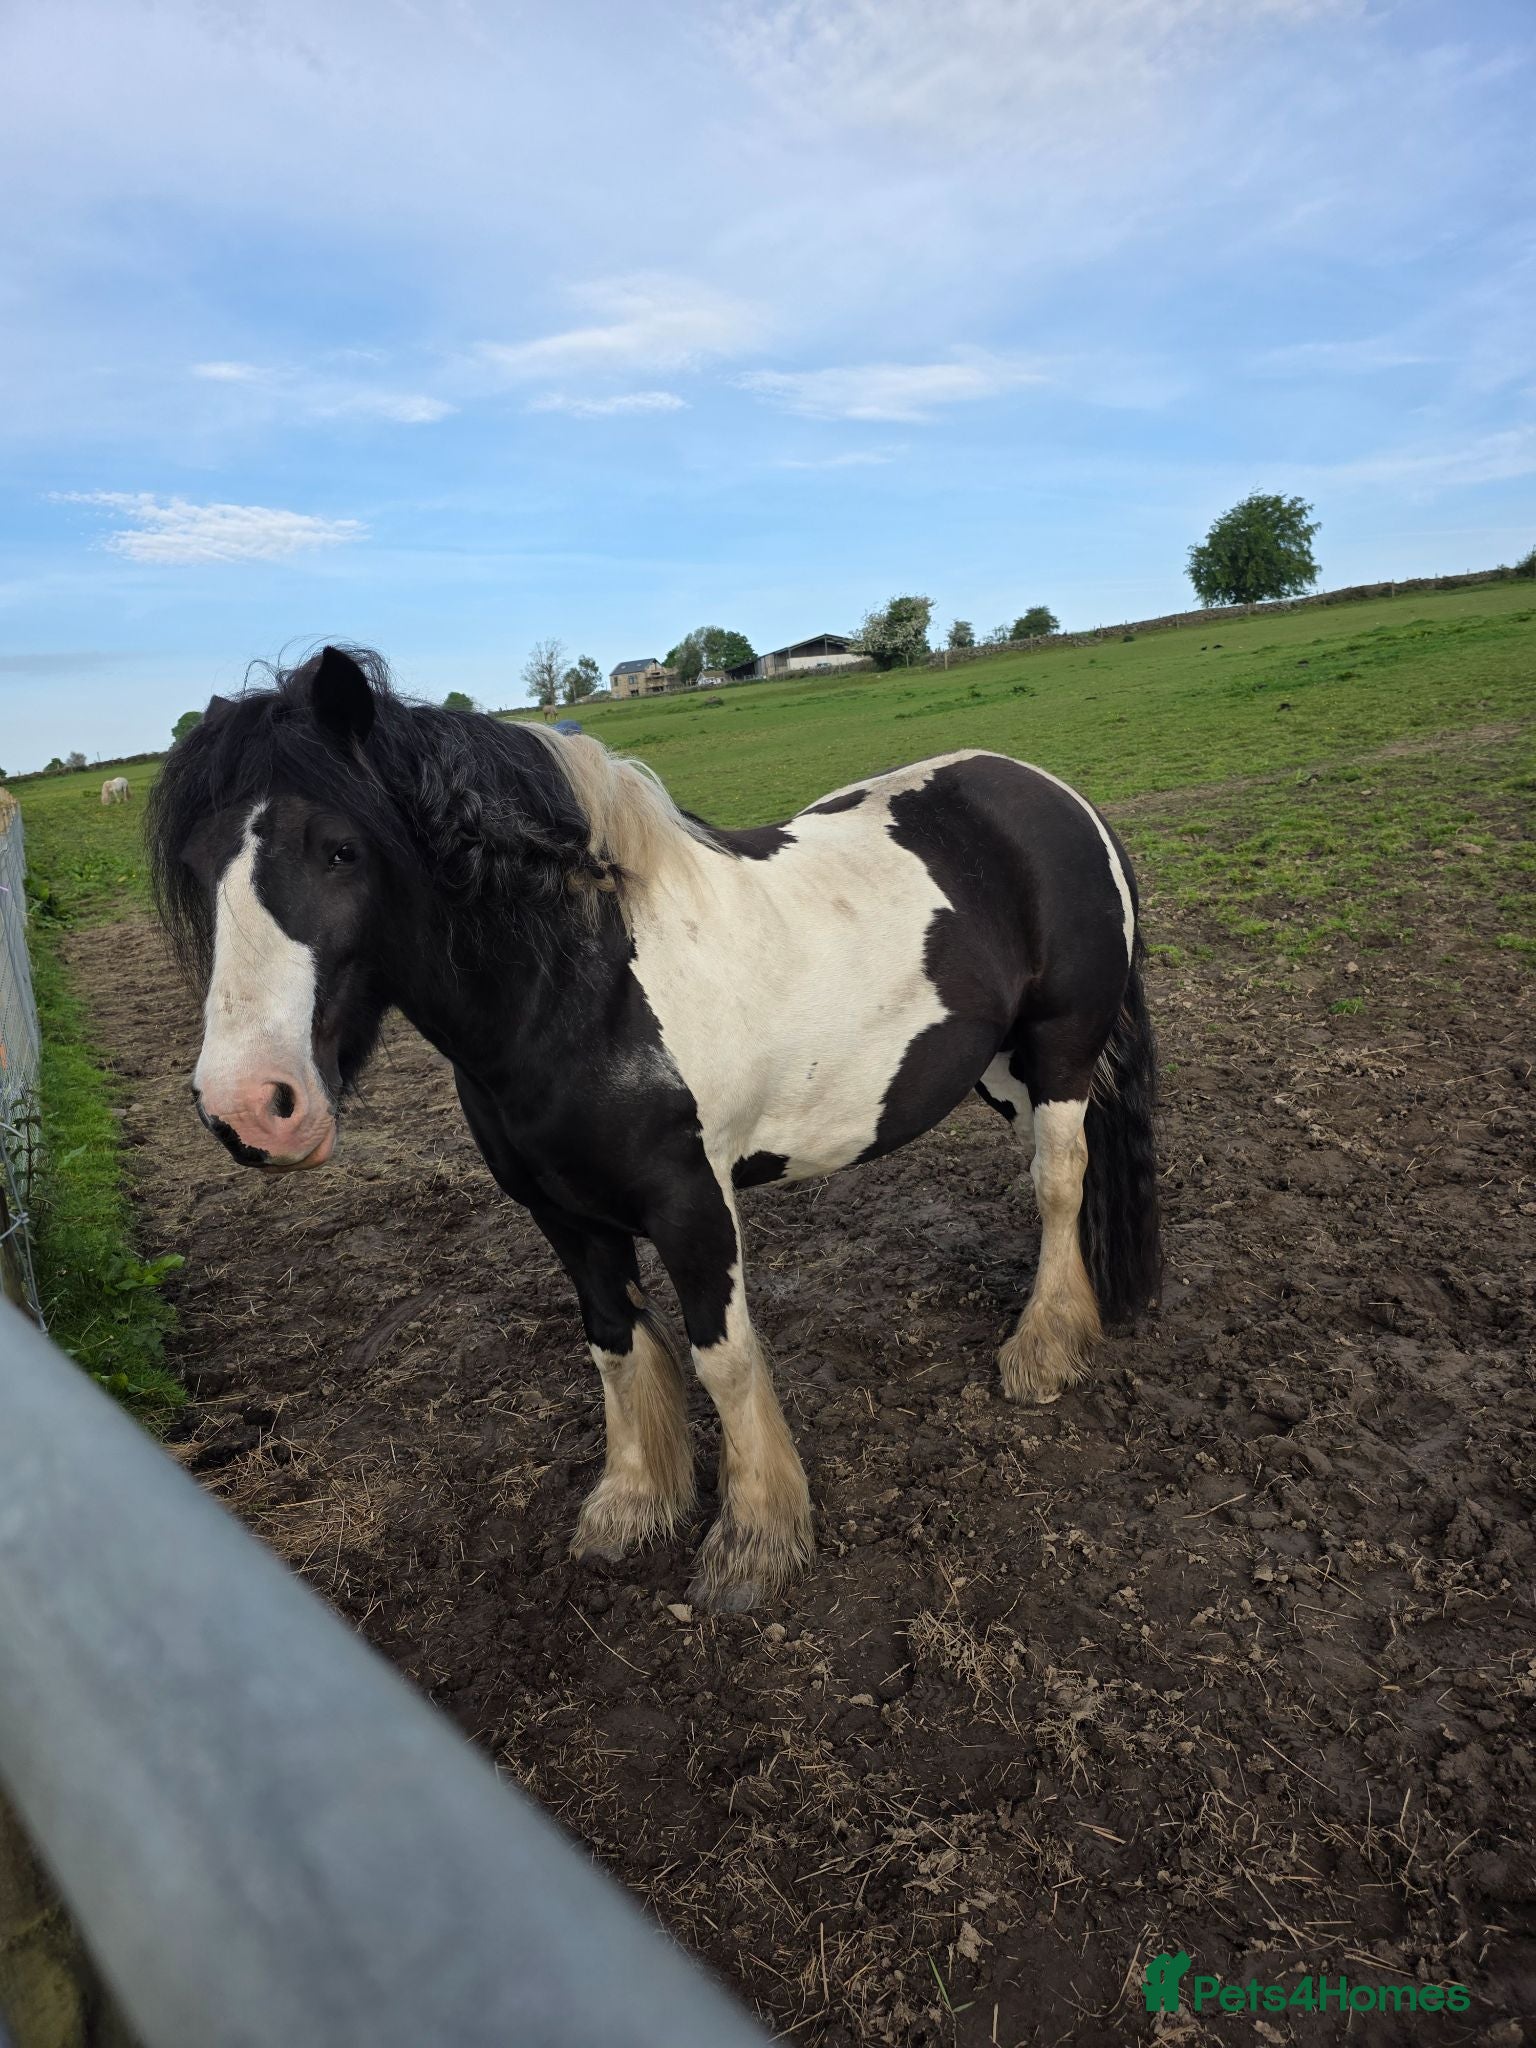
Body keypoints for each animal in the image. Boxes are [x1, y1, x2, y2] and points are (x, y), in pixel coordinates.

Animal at [147, 647, 1161, 1612]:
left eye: (339, 850)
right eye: (196, 867)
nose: (250, 1107)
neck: (584, 988)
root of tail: (1053, 794)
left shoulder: (691, 1205)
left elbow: (723, 1359)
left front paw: (753, 1541)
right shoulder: (562, 1214)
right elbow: (615, 1342)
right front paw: (633, 1504)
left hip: (1060, 1054)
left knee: (1059, 1181)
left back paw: (1043, 1347)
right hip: (1001, 1072)